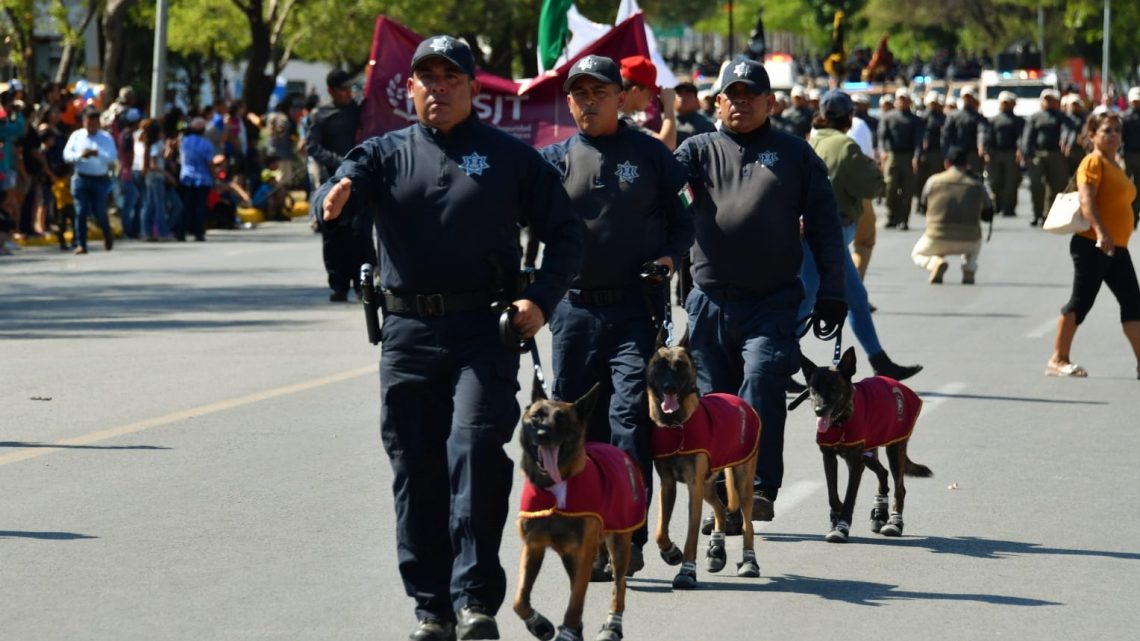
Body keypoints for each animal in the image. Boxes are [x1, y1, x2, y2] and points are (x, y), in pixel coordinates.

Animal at [513, 378, 647, 638]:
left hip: (618, 544)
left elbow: (575, 604)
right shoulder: (533, 547)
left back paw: (612, 625)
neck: (555, 486)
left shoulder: (583, 554)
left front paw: (568, 631)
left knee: (619, 586)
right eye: (536, 417)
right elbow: (519, 600)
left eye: (561, 419)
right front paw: (538, 624)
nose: (543, 434)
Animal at [647, 344, 761, 588]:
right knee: (720, 508)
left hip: (742, 483)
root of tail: (742, 402)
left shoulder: (694, 488)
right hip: (708, 484)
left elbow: (691, 536)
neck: (677, 426)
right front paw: (670, 552)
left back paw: (749, 561)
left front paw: (687, 571)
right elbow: (660, 530)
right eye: (659, 365)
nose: (669, 387)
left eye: (680, 365)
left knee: (748, 525)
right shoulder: (667, 485)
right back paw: (717, 548)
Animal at [793, 346, 934, 540]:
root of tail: (898, 384)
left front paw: (842, 526)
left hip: (894, 450)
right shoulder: (829, 458)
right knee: (883, 473)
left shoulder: (855, 464)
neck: (841, 422)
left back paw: (895, 522)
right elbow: (832, 495)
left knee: (900, 489)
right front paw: (834, 520)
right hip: (868, 455)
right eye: (813, 389)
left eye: (833, 387)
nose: (819, 411)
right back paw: (879, 513)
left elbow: (849, 498)